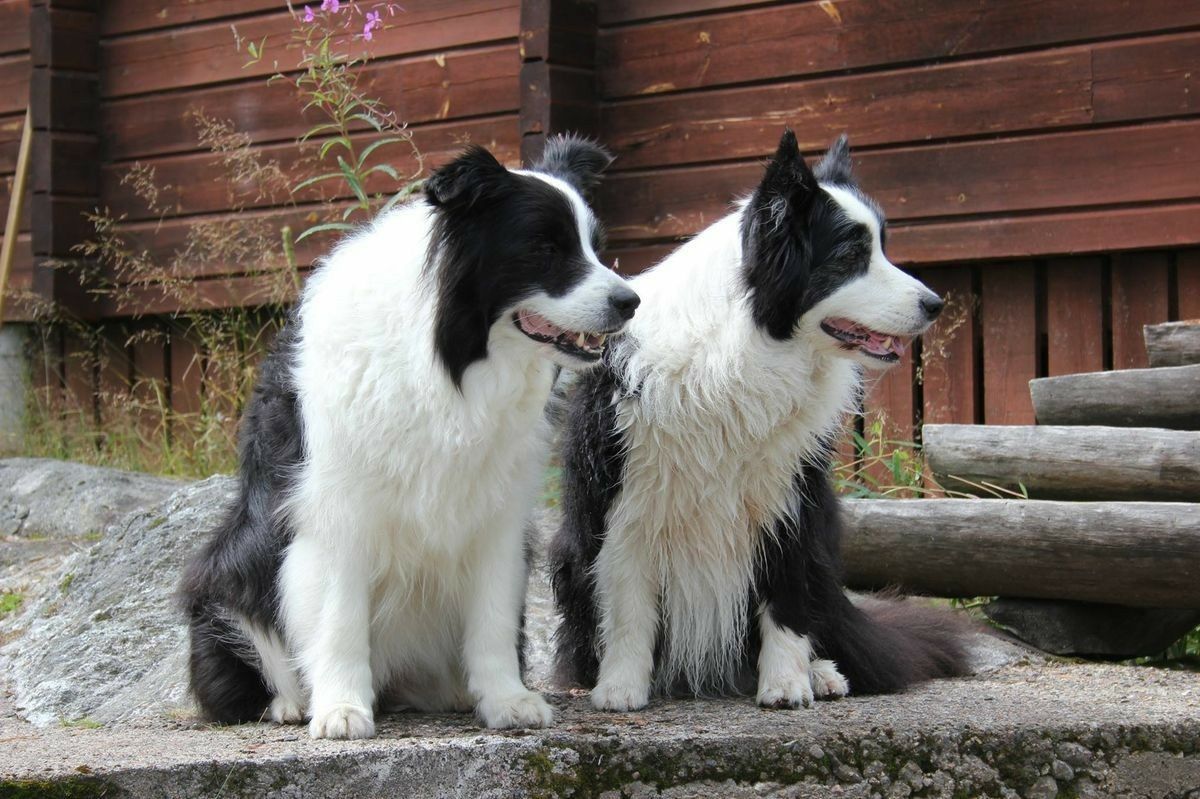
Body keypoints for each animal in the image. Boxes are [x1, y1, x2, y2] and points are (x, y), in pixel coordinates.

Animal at [180, 135, 638, 734]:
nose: (631, 302)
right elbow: (340, 618)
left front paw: (506, 698)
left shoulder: (499, 509)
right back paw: (290, 703)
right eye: (544, 247)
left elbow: (493, 615)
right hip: (228, 575)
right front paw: (342, 709)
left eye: (596, 247)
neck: (446, 365)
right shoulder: (338, 506)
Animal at [549, 130, 964, 710]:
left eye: (883, 247)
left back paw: (822, 672)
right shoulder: (624, 504)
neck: (747, 345)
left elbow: (787, 597)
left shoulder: (790, 501)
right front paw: (620, 687)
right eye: (851, 255)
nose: (935, 304)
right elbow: (629, 606)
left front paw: (787, 684)